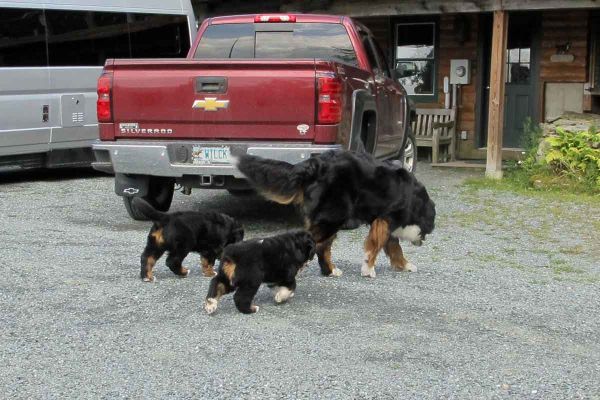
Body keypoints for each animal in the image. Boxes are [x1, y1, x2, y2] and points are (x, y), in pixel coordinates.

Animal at [234, 149, 436, 278]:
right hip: (332, 218)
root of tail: (315, 164)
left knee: (322, 247)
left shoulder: (384, 222)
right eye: (427, 231)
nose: (422, 242)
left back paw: (330, 271)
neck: (414, 199)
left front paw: (404, 264)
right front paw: (368, 269)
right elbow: (377, 246)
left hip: (330, 219)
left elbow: (394, 247)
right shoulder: (385, 219)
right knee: (315, 243)